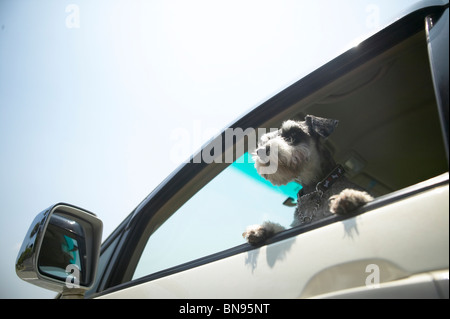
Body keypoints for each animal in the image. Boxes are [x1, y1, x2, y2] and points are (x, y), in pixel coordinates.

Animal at [243, 115, 372, 245]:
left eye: (293, 134)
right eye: (265, 140)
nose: (260, 151)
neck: (315, 189)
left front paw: (351, 197)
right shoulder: (296, 225)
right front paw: (261, 229)